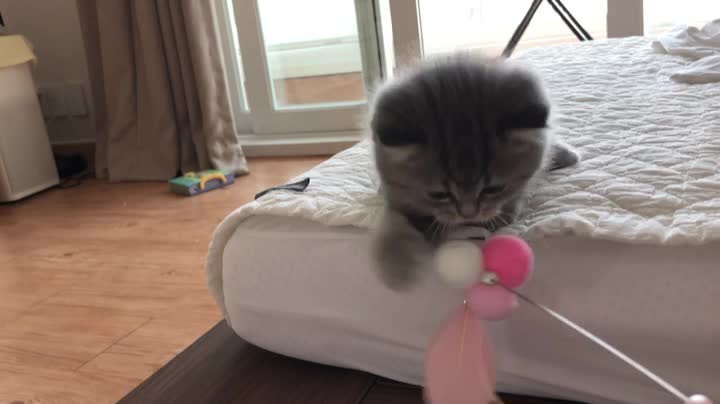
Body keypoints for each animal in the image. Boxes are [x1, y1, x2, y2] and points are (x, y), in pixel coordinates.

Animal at [374, 53, 576, 288]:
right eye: (438, 194)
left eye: (493, 189)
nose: (468, 214)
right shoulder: (395, 193)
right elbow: (393, 219)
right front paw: (397, 265)